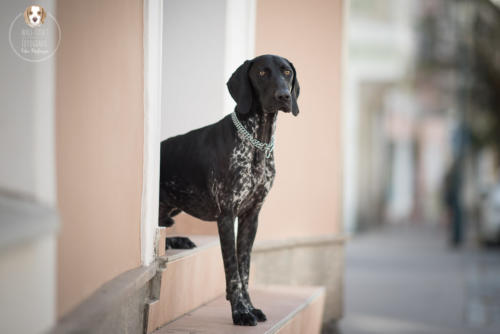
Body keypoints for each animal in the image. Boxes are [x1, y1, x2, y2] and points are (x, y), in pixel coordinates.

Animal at [160, 55, 298, 326]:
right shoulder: (226, 216)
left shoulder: (250, 217)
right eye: (263, 72)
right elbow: (232, 271)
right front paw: (240, 312)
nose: (284, 96)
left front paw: (250, 306)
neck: (257, 141)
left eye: (286, 72)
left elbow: (244, 271)